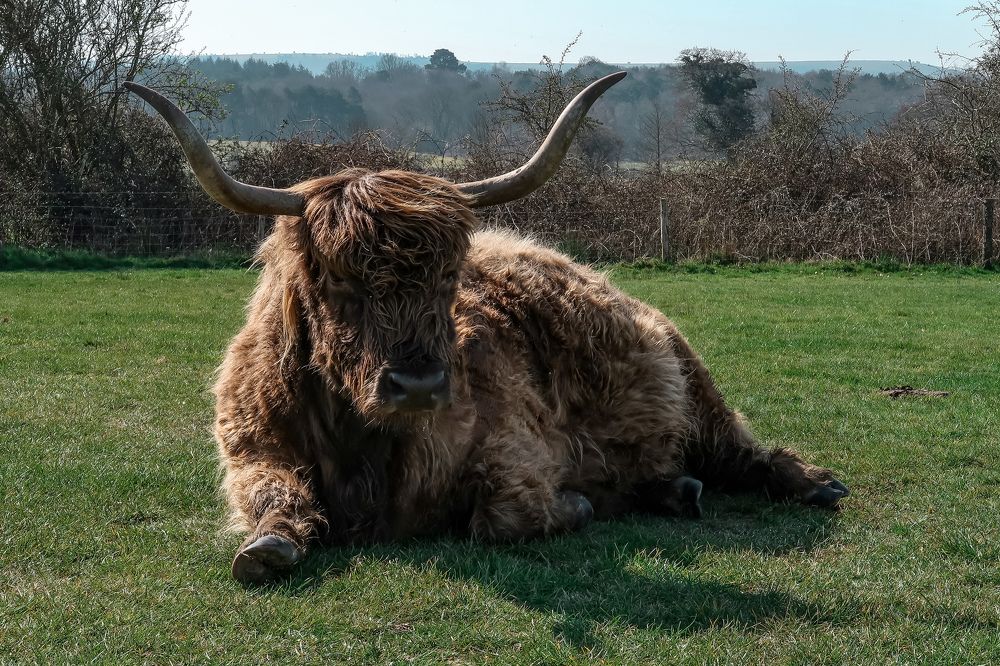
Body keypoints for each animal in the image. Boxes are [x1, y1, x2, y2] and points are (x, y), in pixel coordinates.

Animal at [125, 73, 848, 585]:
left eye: (450, 276)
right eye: (335, 277)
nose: (417, 386)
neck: (364, 448)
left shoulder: (518, 449)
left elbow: (501, 518)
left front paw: (578, 505)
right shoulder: (251, 450)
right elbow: (270, 503)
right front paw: (268, 545)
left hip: (694, 386)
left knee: (740, 450)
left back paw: (811, 483)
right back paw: (674, 489)